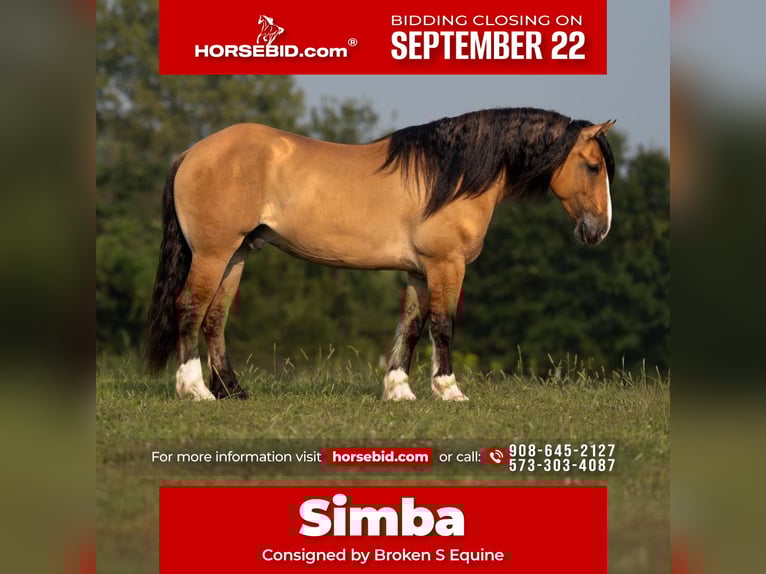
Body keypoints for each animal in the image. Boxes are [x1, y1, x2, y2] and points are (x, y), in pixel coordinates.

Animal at [145, 107, 615, 402]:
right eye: (593, 166)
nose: (600, 230)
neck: (452, 176)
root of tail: (191, 152)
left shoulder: (420, 272)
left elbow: (411, 327)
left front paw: (399, 389)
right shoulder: (446, 265)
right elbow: (443, 326)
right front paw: (449, 390)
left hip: (235, 255)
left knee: (215, 317)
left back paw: (232, 390)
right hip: (213, 253)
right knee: (189, 308)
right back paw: (195, 390)